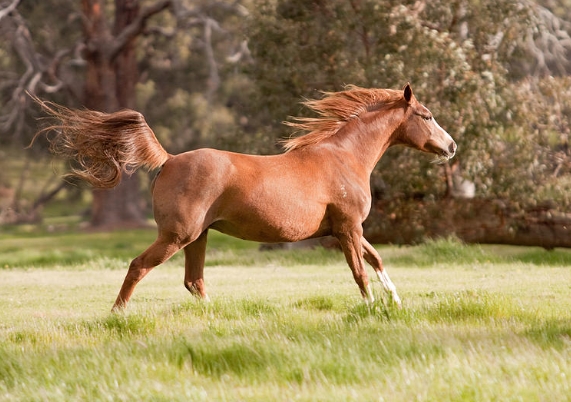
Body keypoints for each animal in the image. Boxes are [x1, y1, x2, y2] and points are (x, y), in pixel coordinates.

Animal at [36, 84, 456, 310]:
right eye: (426, 115)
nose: (451, 146)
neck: (344, 156)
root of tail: (169, 159)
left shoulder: (346, 229)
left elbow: (377, 260)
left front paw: (396, 302)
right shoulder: (348, 228)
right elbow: (359, 271)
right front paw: (370, 309)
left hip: (198, 238)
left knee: (194, 281)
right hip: (177, 236)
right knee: (139, 266)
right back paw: (117, 314)